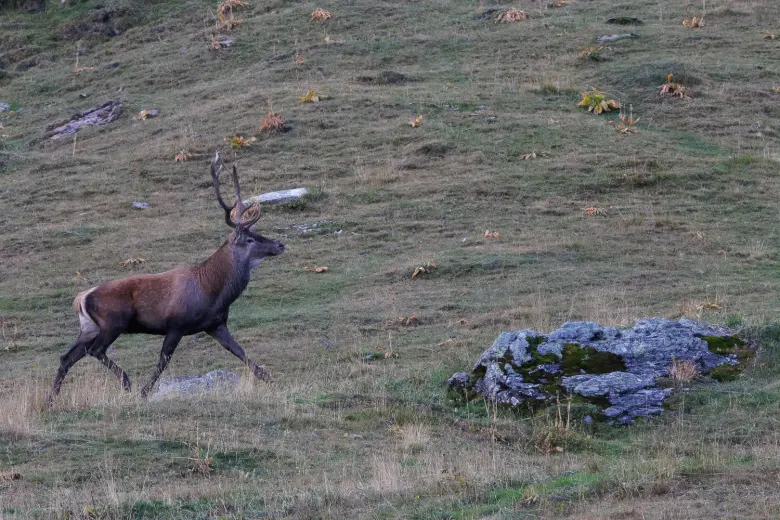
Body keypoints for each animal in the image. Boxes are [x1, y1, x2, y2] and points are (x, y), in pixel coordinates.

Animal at [48, 151, 285, 403]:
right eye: (250, 239)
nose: (280, 245)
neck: (213, 291)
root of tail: (81, 298)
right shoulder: (176, 324)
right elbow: (164, 360)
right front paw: (144, 391)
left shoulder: (216, 324)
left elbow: (240, 352)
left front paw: (271, 380)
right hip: (113, 322)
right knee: (95, 350)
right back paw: (126, 382)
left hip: (88, 328)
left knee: (67, 357)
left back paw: (51, 399)